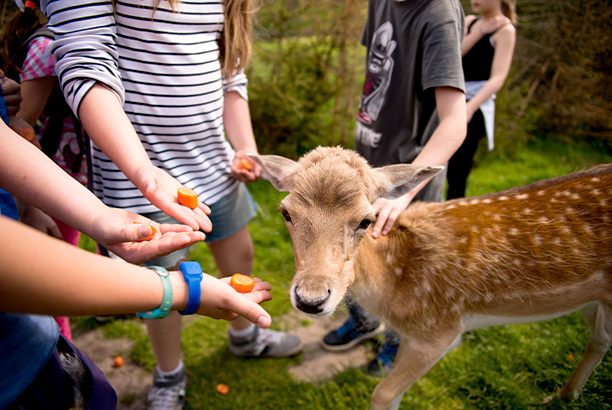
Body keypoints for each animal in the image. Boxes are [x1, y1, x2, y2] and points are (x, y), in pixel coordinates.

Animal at [250, 147, 612, 410]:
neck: (394, 294)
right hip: (592, 300)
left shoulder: (442, 331)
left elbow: (383, 394)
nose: (311, 298)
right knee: (600, 338)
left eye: (367, 220)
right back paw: (563, 396)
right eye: (286, 212)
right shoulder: (412, 334)